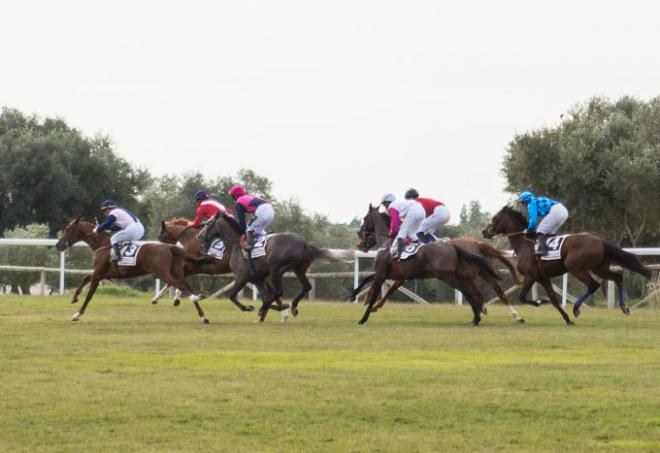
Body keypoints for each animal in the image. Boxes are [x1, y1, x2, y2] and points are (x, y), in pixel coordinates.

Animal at [56, 217, 213, 324]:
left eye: (68, 229)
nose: (58, 245)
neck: (103, 243)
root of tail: (169, 247)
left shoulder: (99, 273)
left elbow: (89, 295)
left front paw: (77, 315)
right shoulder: (102, 273)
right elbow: (85, 278)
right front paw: (74, 297)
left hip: (163, 273)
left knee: (181, 286)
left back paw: (195, 299)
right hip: (177, 272)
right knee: (186, 286)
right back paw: (203, 316)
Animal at [354, 203, 524, 324]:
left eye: (364, 219)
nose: (360, 243)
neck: (389, 242)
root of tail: (476, 243)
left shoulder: (388, 274)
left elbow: (380, 289)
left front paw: (366, 311)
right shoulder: (395, 275)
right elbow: (372, 281)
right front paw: (360, 296)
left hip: (451, 276)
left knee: (472, 293)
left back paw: (481, 313)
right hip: (475, 273)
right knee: (491, 292)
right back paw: (504, 315)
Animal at [482, 205, 652, 322]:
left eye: (495, 218)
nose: (484, 231)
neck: (524, 243)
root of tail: (600, 241)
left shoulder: (531, 276)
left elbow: (523, 298)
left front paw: (540, 301)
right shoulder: (543, 277)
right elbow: (554, 300)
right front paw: (566, 318)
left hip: (575, 267)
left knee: (593, 285)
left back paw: (576, 308)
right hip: (599, 268)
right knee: (618, 278)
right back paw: (624, 308)